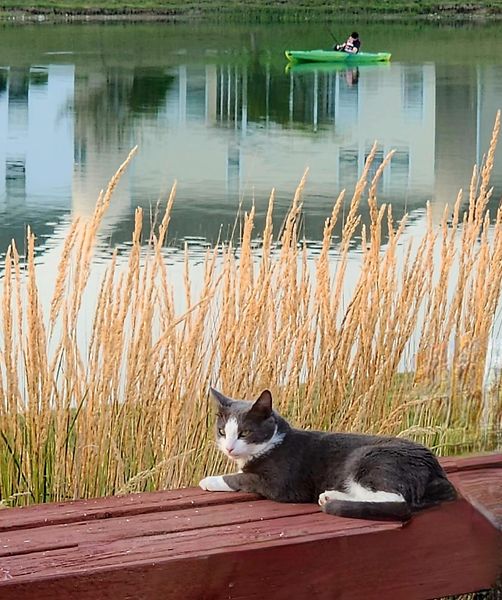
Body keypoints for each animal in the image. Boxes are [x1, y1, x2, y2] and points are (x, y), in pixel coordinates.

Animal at [198, 390, 456, 520]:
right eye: (222, 432)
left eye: (245, 433)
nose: (229, 448)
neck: (273, 442)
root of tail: (435, 470)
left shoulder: (281, 483)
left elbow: (242, 477)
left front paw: (210, 480)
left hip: (369, 458)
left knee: (398, 501)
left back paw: (332, 498)